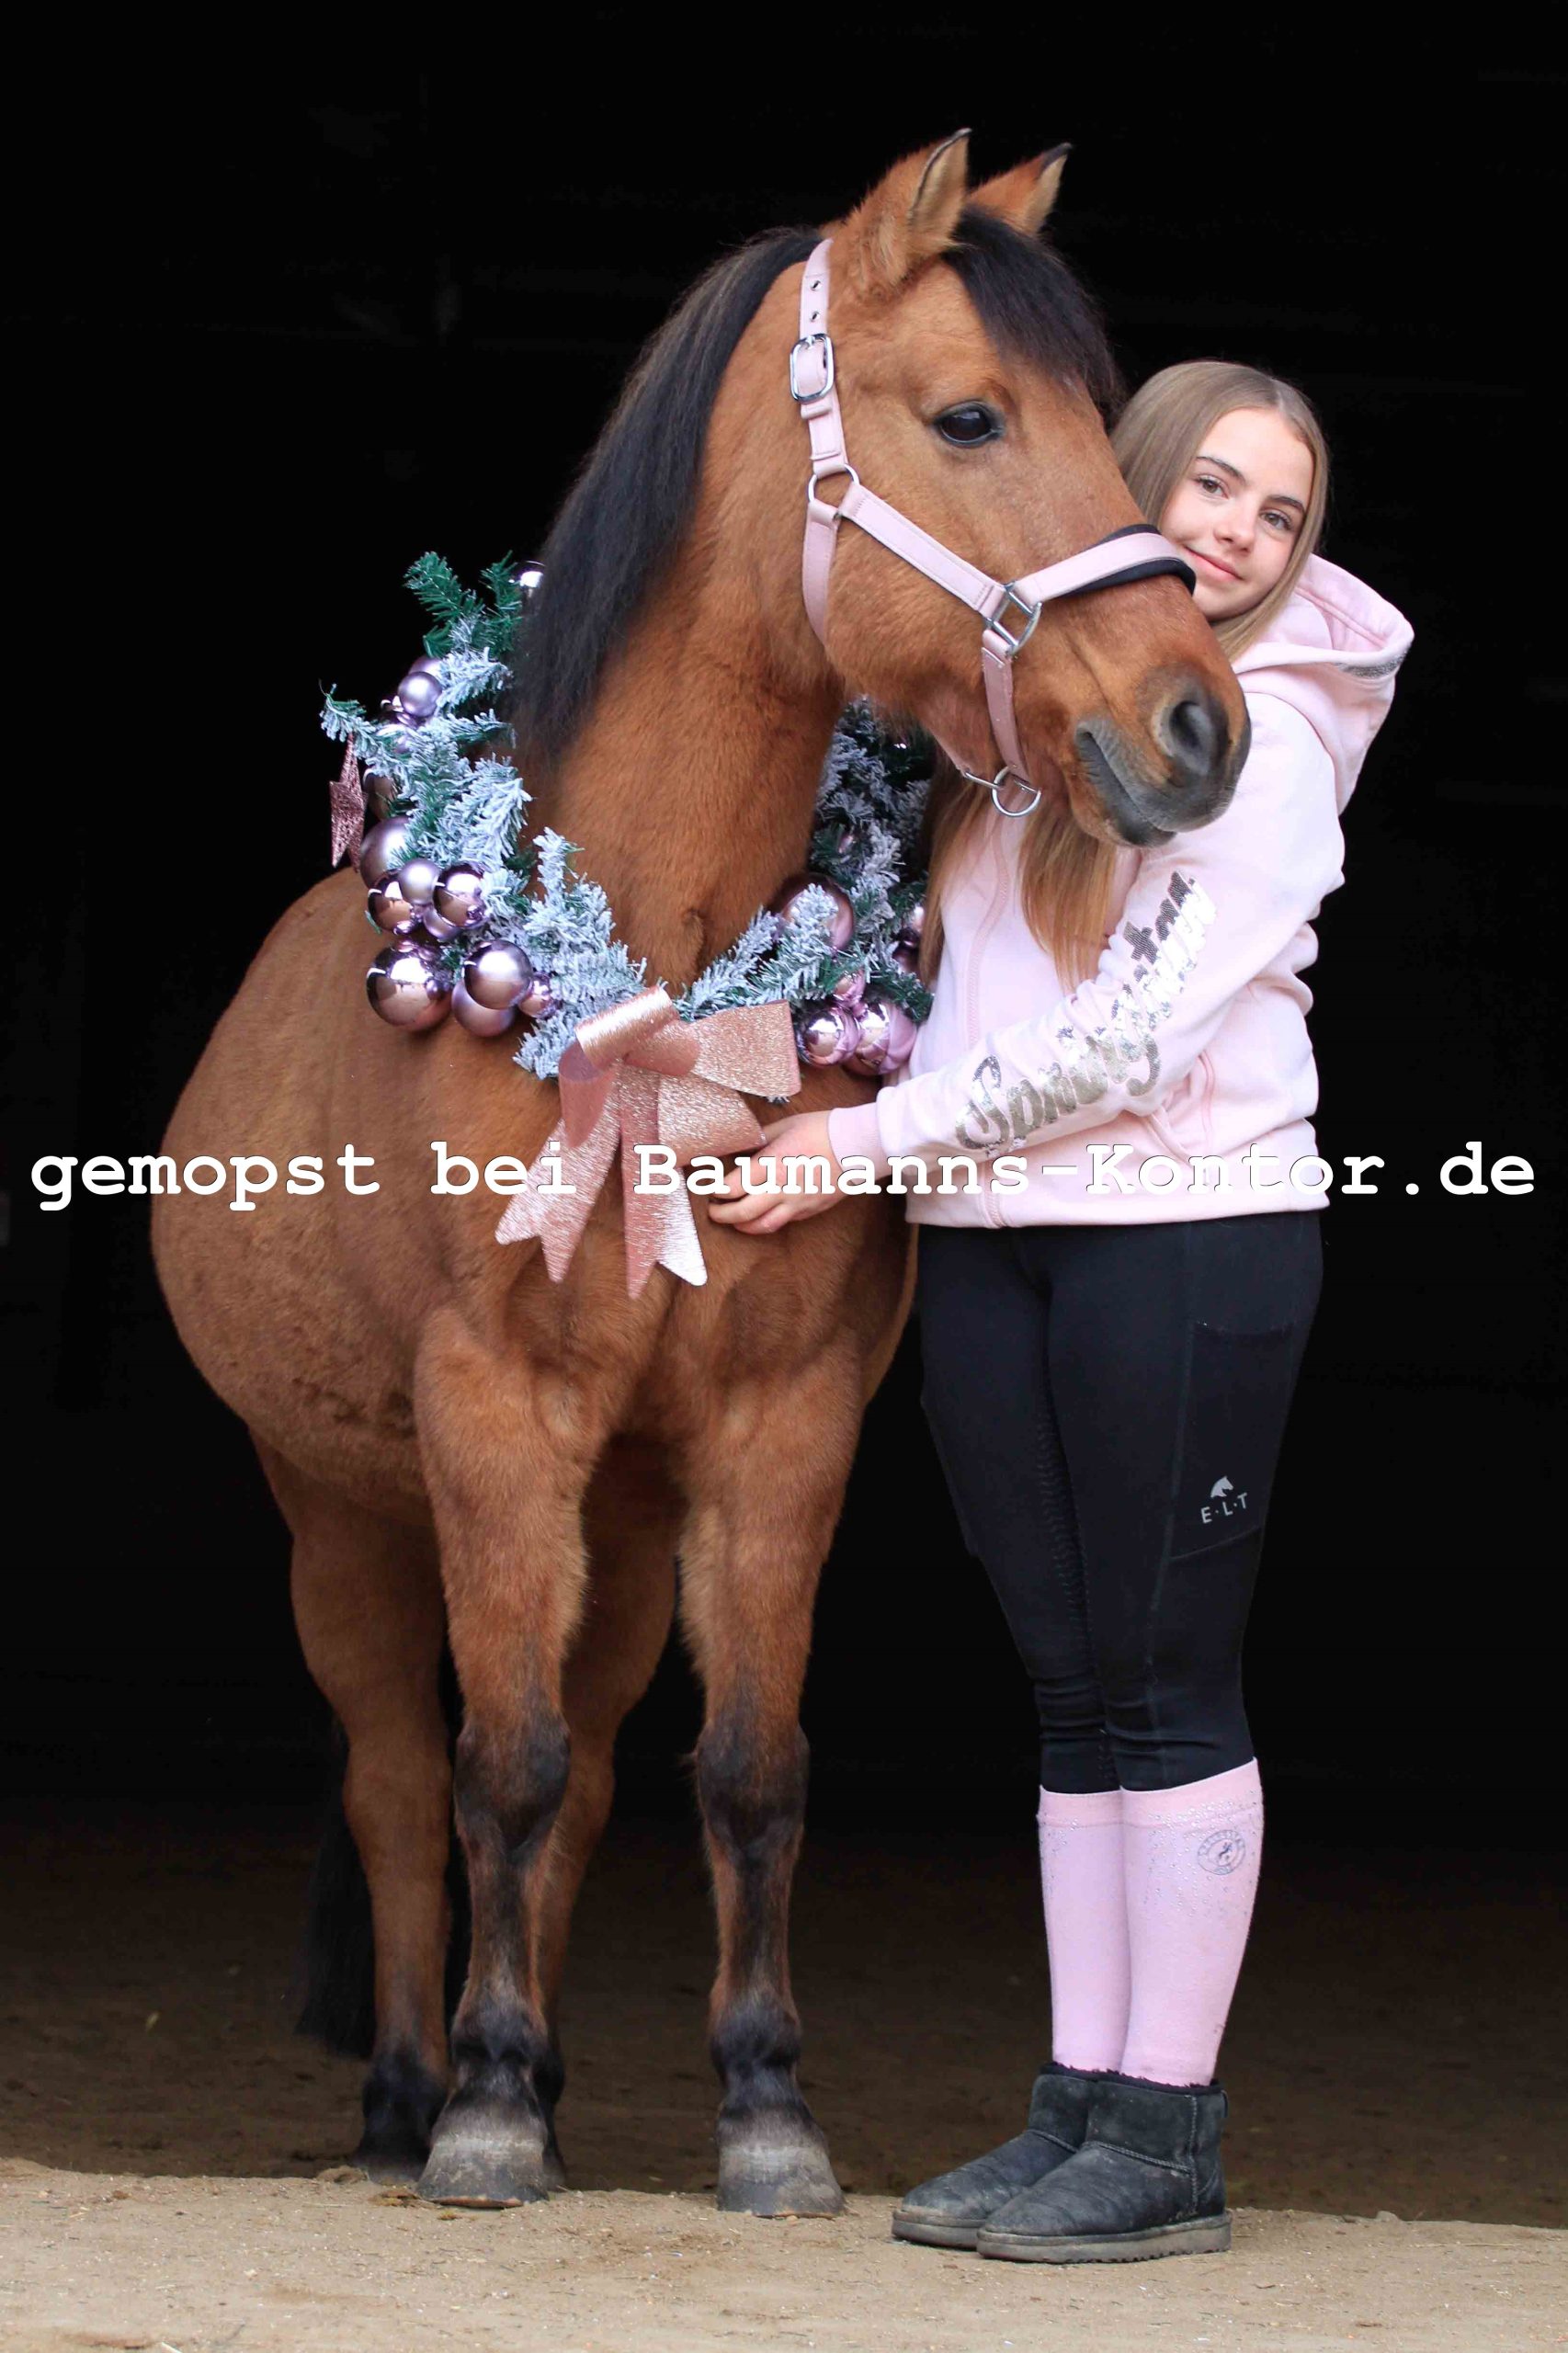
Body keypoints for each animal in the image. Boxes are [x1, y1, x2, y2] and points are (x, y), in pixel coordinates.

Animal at [151, 134, 1248, 2216]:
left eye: (1103, 422)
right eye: (971, 416)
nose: (1196, 727)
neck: (648, 986)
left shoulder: (776, 1428)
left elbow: (741, 1768)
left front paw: (759, 2104)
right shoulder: (490, 1420)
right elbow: (484, 1771)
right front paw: (484, 2115)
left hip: (621, 1513)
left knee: (577, 1766)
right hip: (339, 1510)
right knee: (407, 1778)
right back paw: (417, 2082)